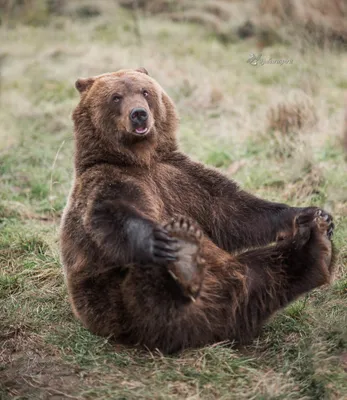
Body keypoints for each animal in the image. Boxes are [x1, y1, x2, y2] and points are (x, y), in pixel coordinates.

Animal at [61, 68, 336, 354]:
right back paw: (185, 254)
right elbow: (109, 213)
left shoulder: (184, 181)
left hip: (238, 285)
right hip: (122, 306)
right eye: (116, 97)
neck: (141, 159)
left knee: (267, 272)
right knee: (149, 288)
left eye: (145, 92)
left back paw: (318, 242)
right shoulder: (108, 179)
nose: (139, 113)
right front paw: (161, 238)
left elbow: (234, 210)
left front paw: (312, 213)